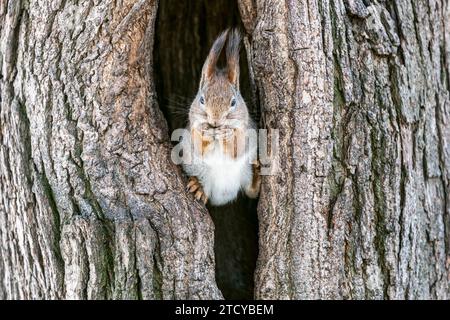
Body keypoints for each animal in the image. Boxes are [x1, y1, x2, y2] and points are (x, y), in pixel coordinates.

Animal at [181, 28, 260, 206]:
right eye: (201, 99)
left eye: (233, 102)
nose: (215, 122)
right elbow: (198, 146)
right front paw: (204, 131)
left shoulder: (248, 131)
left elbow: (238, 147)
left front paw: (228, 134)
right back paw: (198, 187)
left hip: (245, 170)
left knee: (251, 191)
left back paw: (257, 176)